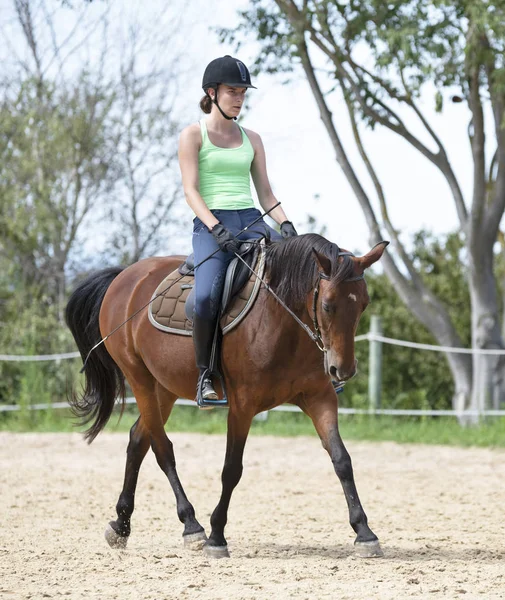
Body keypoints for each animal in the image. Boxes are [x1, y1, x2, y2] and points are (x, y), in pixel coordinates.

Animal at [66, 233, 386, 556]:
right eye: (328, 305)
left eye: (363, 305)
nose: (343, 370)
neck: (281, 318)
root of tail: (125, 276)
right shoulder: (242, 406)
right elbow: (232, 469)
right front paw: (216, 535)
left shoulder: (319, 397)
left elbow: (341, 459)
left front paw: (364, 532)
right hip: (139, 379)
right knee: (162, 449)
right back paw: (191, 525)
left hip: (163, 389)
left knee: (138, 441)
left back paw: (121, 524)